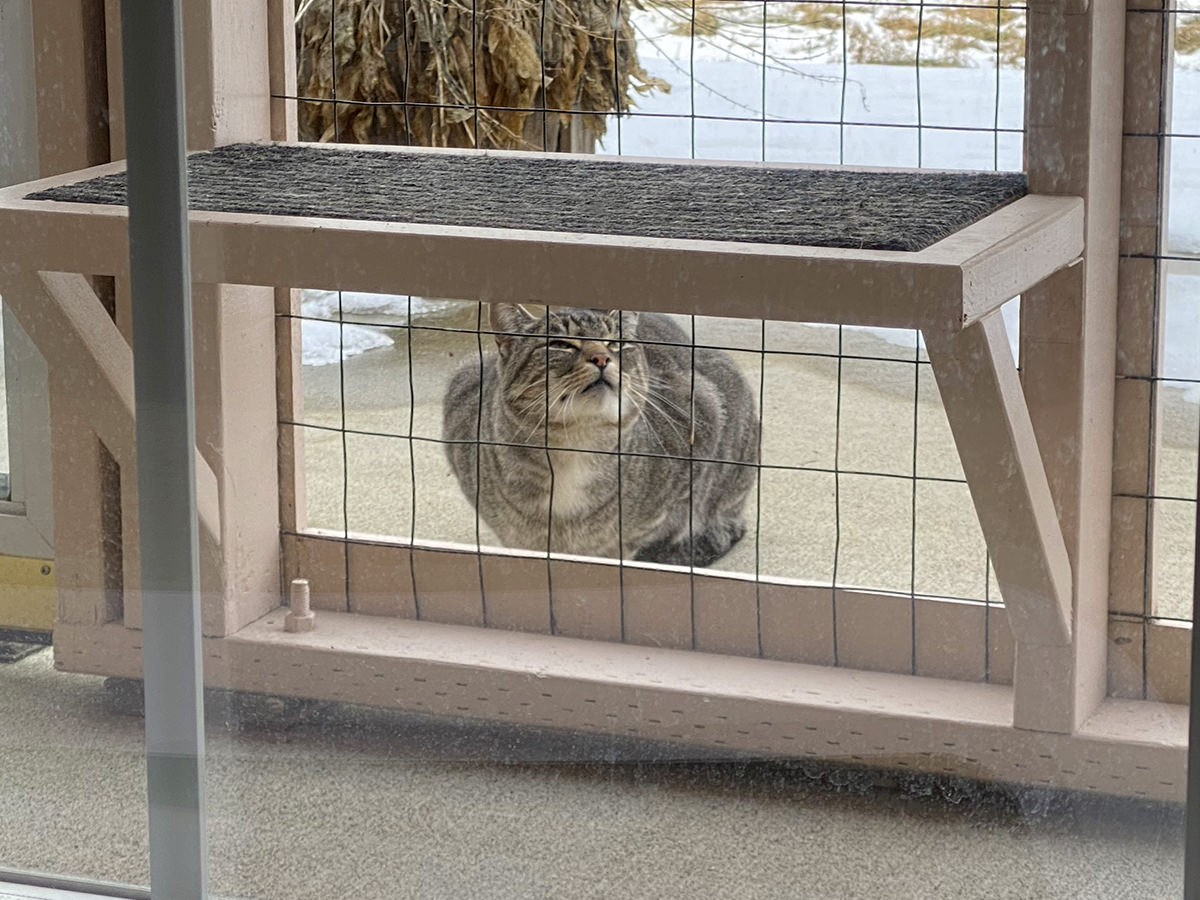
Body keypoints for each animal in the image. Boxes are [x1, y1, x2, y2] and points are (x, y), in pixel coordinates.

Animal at [441, 307, 758, 566]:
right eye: (560, 344)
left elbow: (629, 538)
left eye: (615, 343)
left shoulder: (701, 416)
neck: (572, 447)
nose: (602, 357)